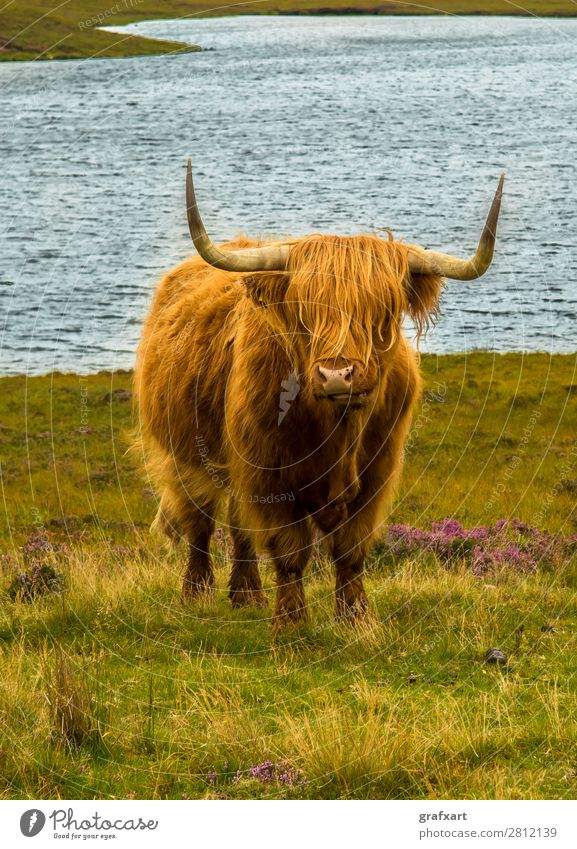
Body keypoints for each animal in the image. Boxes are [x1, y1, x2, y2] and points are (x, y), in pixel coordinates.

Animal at [135, 164, 504, 628]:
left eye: (382, 311)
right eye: (305, 310)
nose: (336, 375)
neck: (335, 431)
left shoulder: (377, 474)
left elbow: (350, 548)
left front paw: (356, 618)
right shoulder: (267, 473)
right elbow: (289, 551)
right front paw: (291, 623)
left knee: (237, 525)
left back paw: (246, 596)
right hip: (185, 454)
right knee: (199, 521)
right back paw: (196, 594)